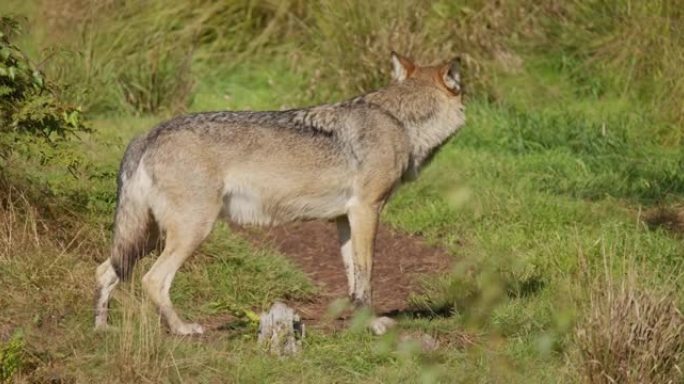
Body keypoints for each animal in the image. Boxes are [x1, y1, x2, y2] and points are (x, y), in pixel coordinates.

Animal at [93, 51, 464, 336]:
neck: (399, 121)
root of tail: (149, 133)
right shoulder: (367, 211)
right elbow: (367, 277)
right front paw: (374, 326)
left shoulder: (345, 219)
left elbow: (353, 280)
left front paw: (359, 323)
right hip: (189, 233)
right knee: (153, 280)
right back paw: (183, 329)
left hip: (147, 238)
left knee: (104, 271)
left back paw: (101, 328)